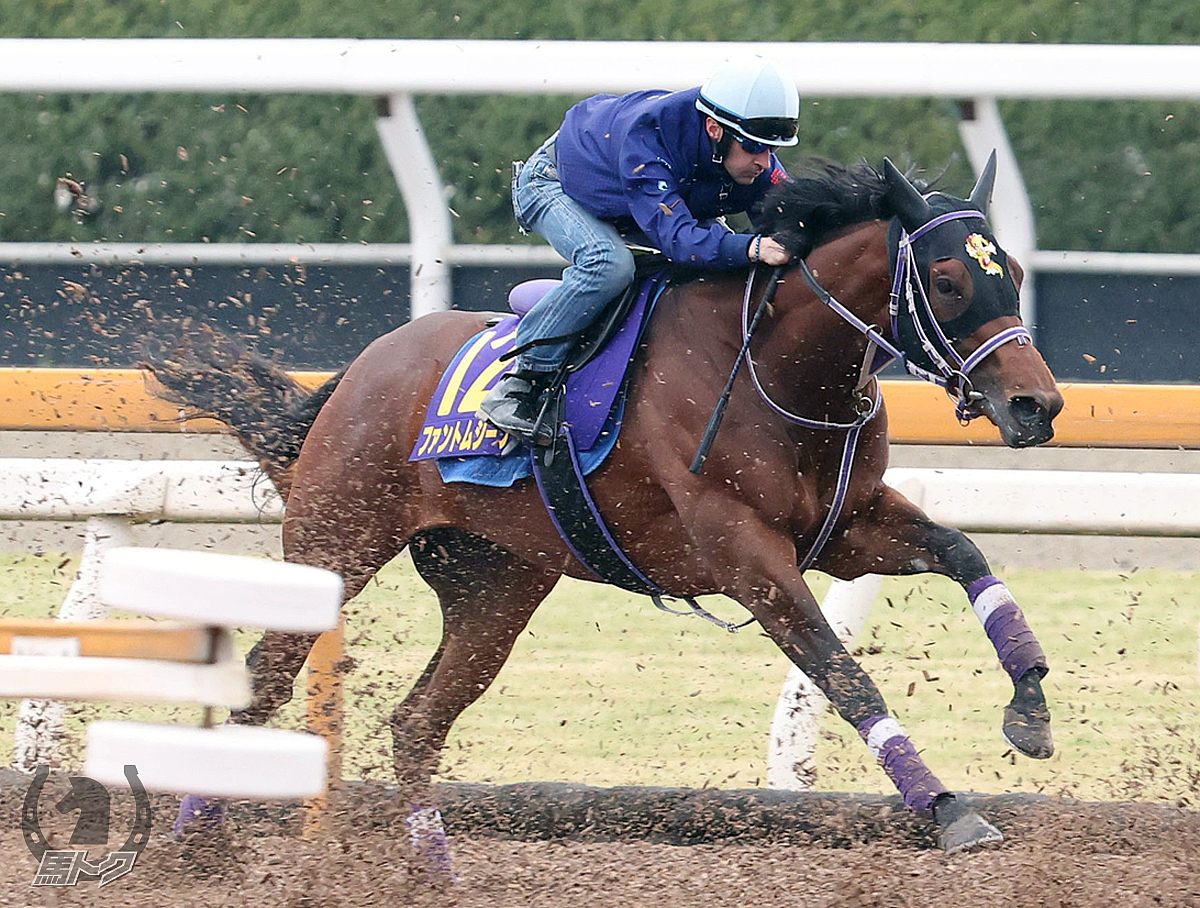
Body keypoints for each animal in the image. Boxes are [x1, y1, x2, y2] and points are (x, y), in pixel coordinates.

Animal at [145, 153, 1065, 863]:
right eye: (947, 280)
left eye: (1014, 275)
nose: (1037, 406)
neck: (773, 366)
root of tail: (358, 371)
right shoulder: (747, 557)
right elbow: (843, 674)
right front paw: (949, 809)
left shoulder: (844, 528)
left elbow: (966, 556)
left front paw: (1029, 709)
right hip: (336, 542)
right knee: (265, 683)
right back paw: (190, 847)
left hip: (497, 586)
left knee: (416, 722)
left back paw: (432, 871)